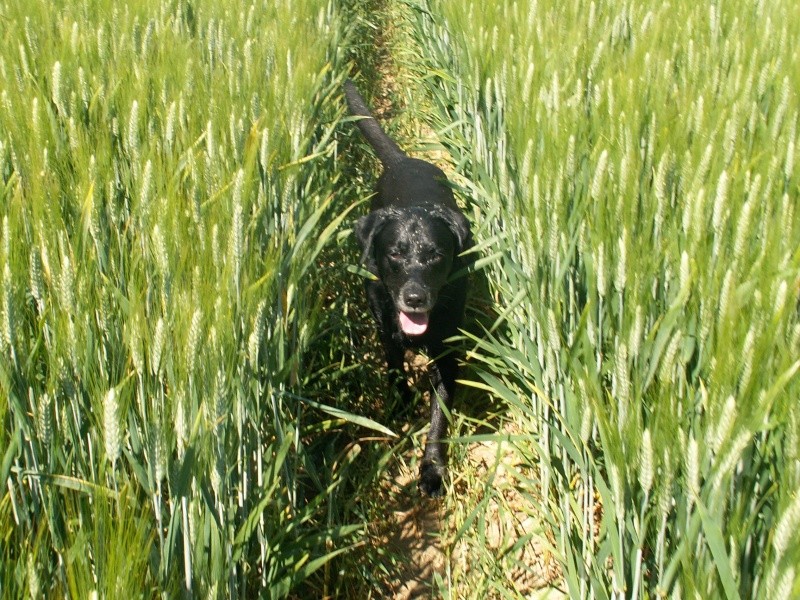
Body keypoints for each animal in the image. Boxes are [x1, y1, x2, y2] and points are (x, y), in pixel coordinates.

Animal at [342, 81, 468, 496]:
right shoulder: (386, 330)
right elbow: (395, 368)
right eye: (394, 253)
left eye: (435, 255)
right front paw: (398, 407)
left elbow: (439, 416)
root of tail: (403, 161)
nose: (414, 298)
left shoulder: (446, 353)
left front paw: (432, 469)